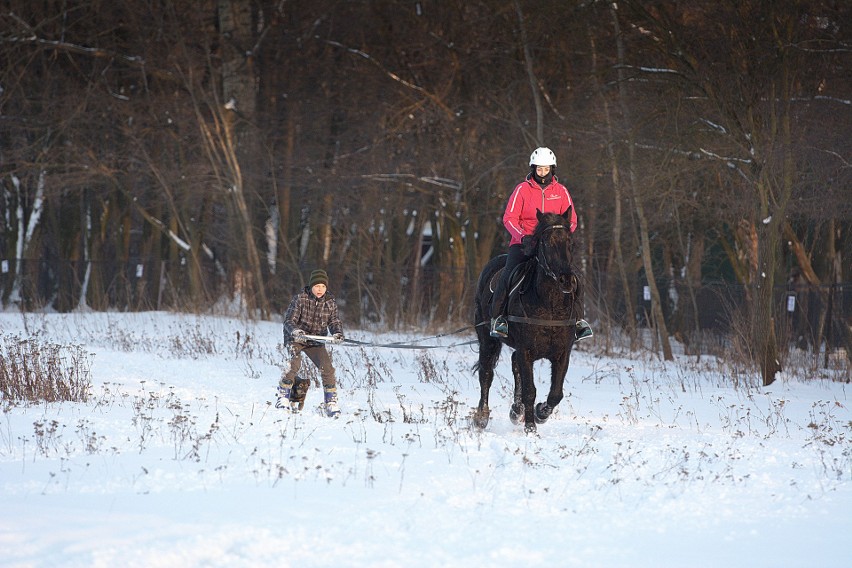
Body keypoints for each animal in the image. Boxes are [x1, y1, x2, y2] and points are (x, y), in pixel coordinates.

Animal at [470, 209, 584, 434]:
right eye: (546, 242)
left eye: (570, 241)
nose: (566, 280)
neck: (550, 306)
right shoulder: (526, 350)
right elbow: (530, 390)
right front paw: (531, 427)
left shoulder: (562, 353)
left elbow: (556, 394)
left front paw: (540, 414)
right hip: (488, 339)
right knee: (486, 373)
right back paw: (482, 417)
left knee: (514, 364)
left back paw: (516, 411)